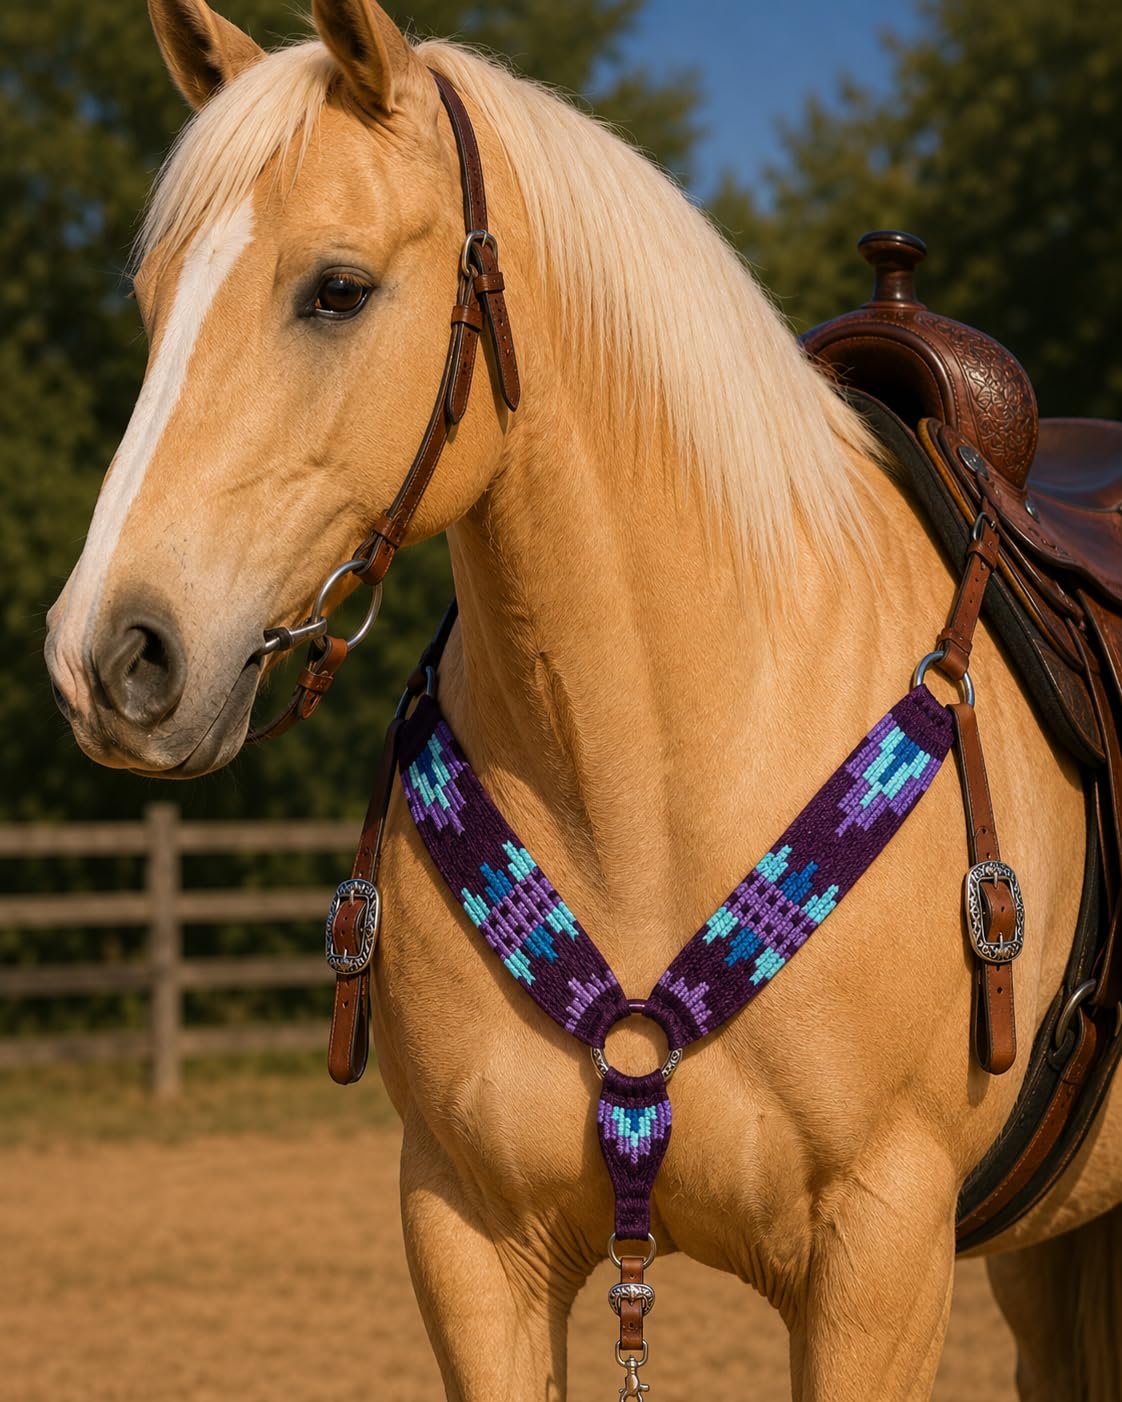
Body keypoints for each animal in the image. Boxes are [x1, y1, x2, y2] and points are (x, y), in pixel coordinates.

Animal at [44, 1, 1122, 1397]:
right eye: (151, 299)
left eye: (337, 289)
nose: (107, 656)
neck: (659, 767)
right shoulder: (469, 1234)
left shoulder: (881, 1257)